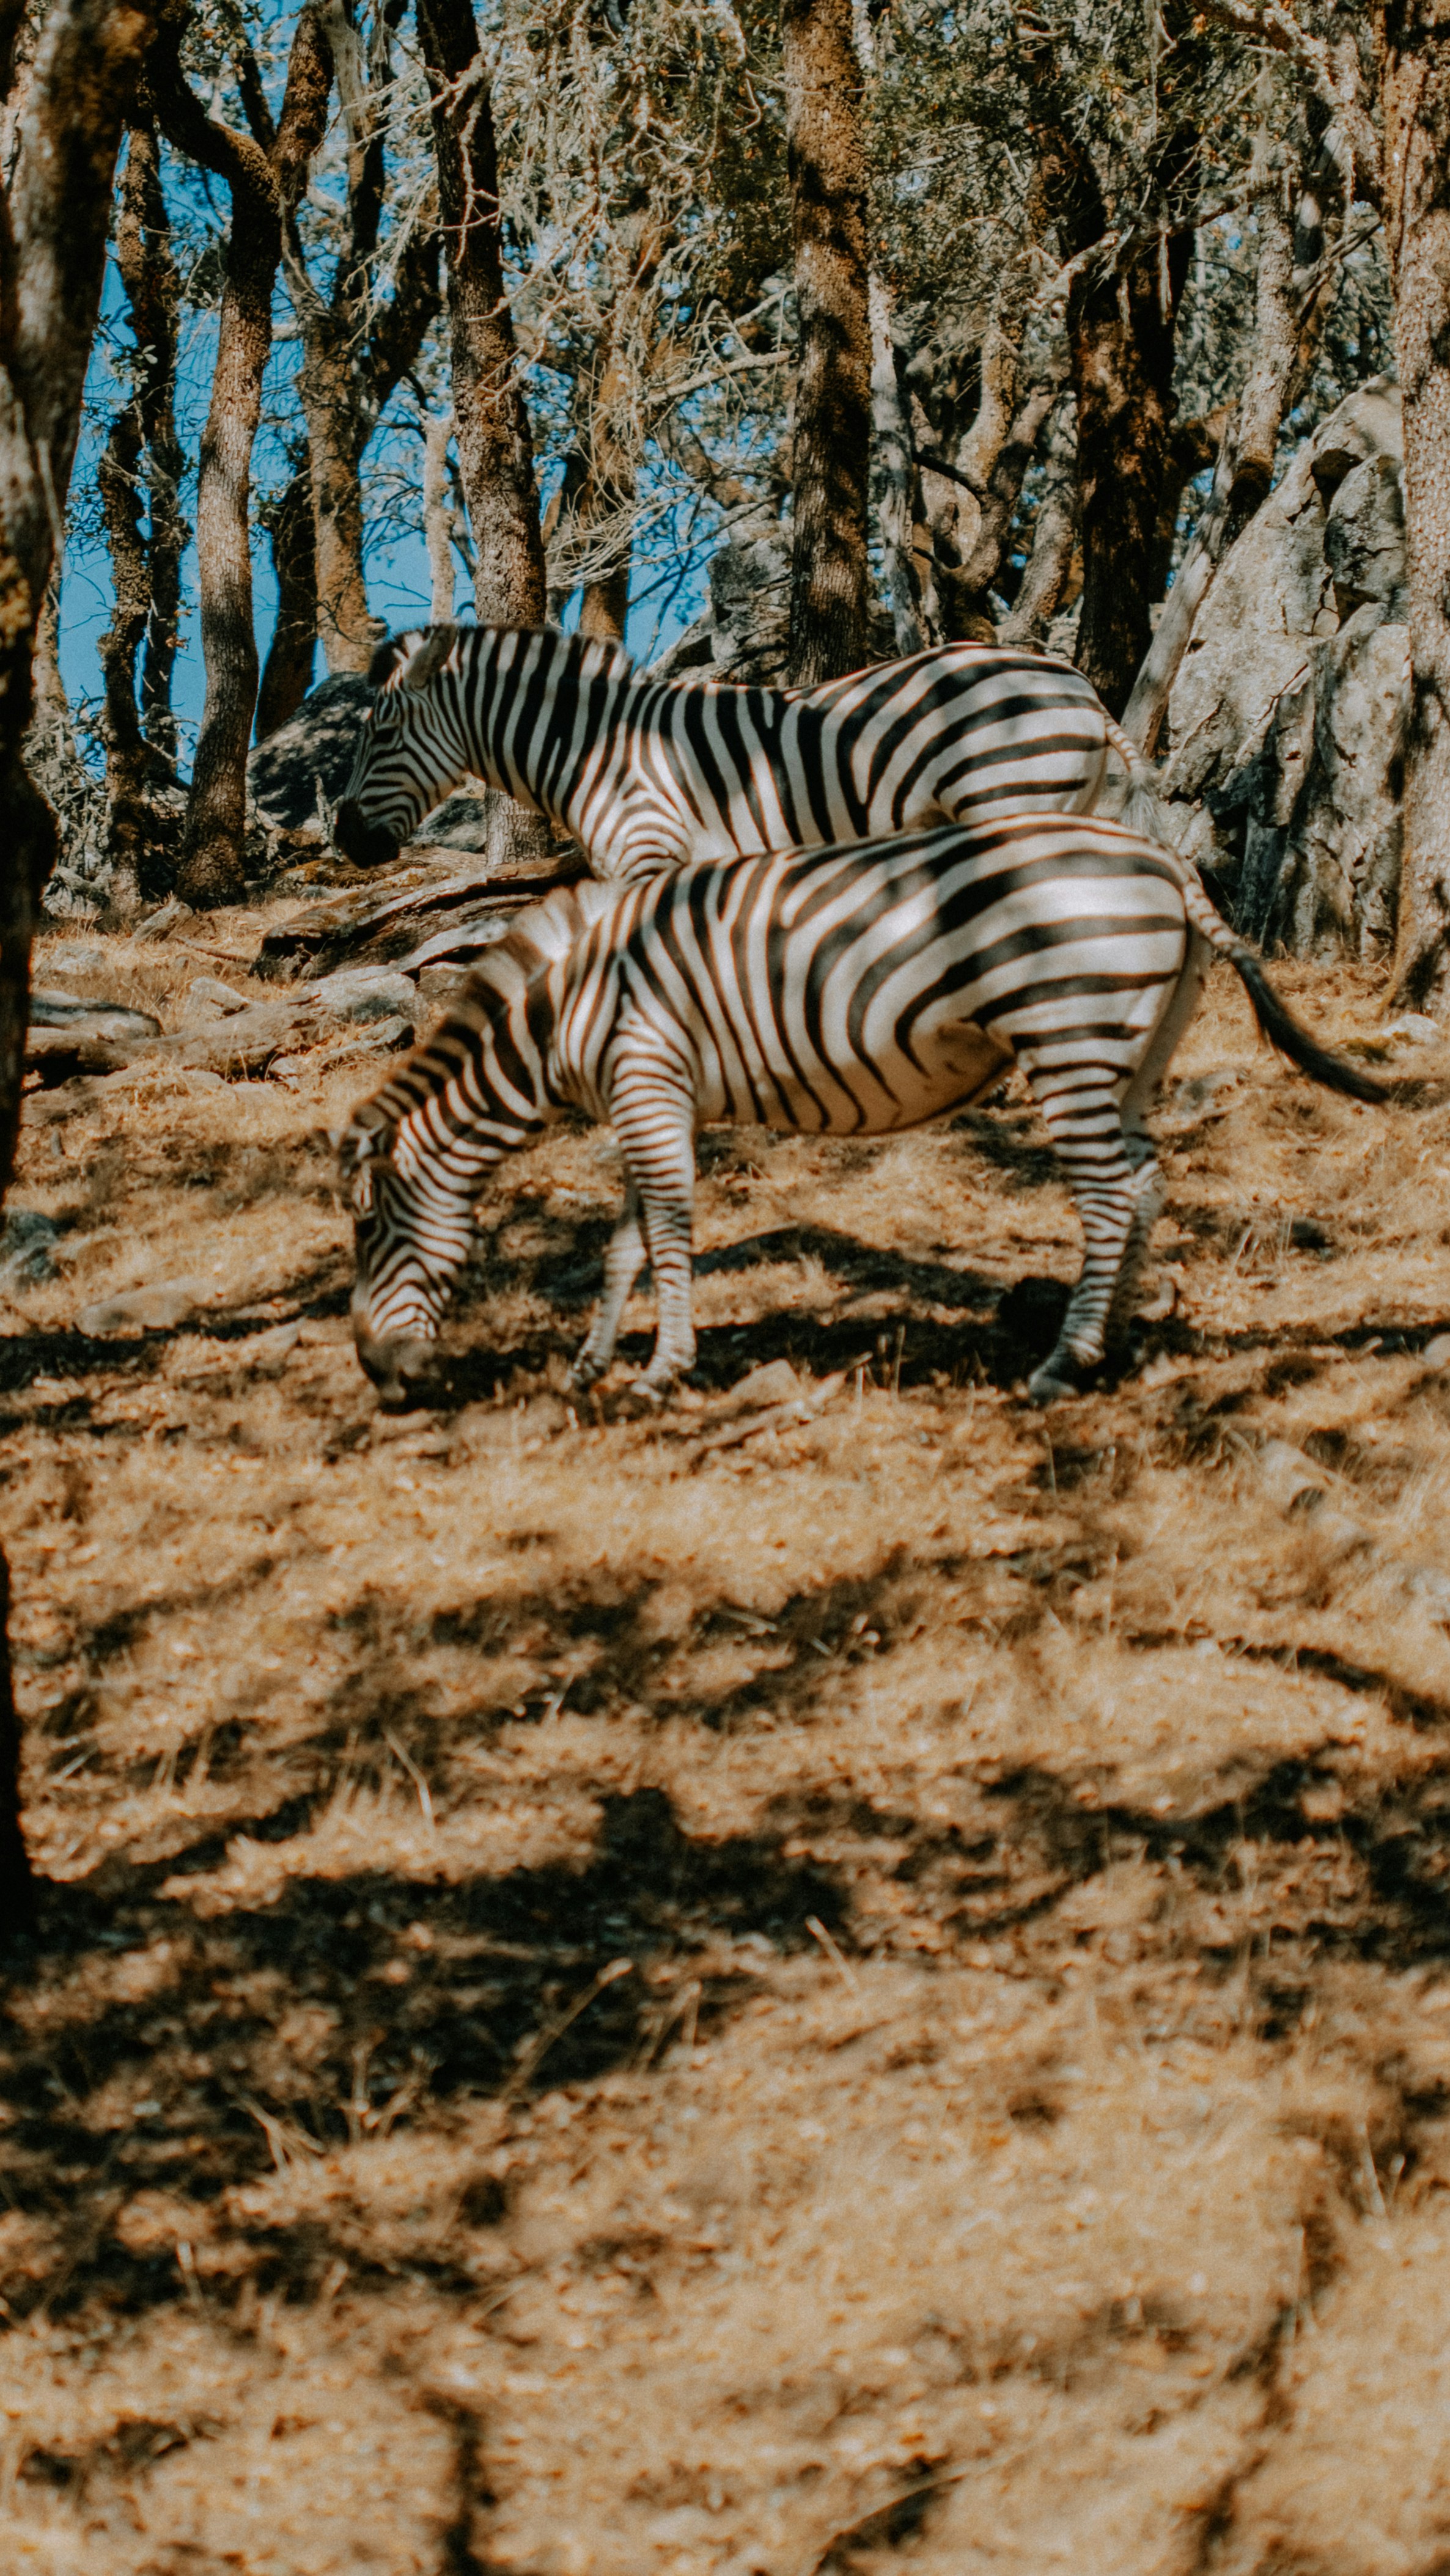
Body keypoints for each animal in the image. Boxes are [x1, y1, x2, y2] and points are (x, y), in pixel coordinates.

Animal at [331, 623, 1163, 884]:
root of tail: (1078, 687)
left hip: (1009, 796)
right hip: (1069, 801)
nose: (343, 839)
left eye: (381, 732)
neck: (592, 746)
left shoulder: (649, 850)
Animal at [340, 814, 1389, 1413]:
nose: (377, 1378)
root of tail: (1164, 861)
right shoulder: (657, 1101)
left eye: (369, 1235)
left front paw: (660, 1373)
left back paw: (1061, 1364)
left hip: (1069, 1033)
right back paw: (1113, 1348)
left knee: (1109, 1197)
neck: (567, 1004)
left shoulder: (647, 1082)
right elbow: (627, 1242)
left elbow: (668, 1232)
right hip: (1134, 1046)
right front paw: (591, 1368)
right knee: (1148, 1179)